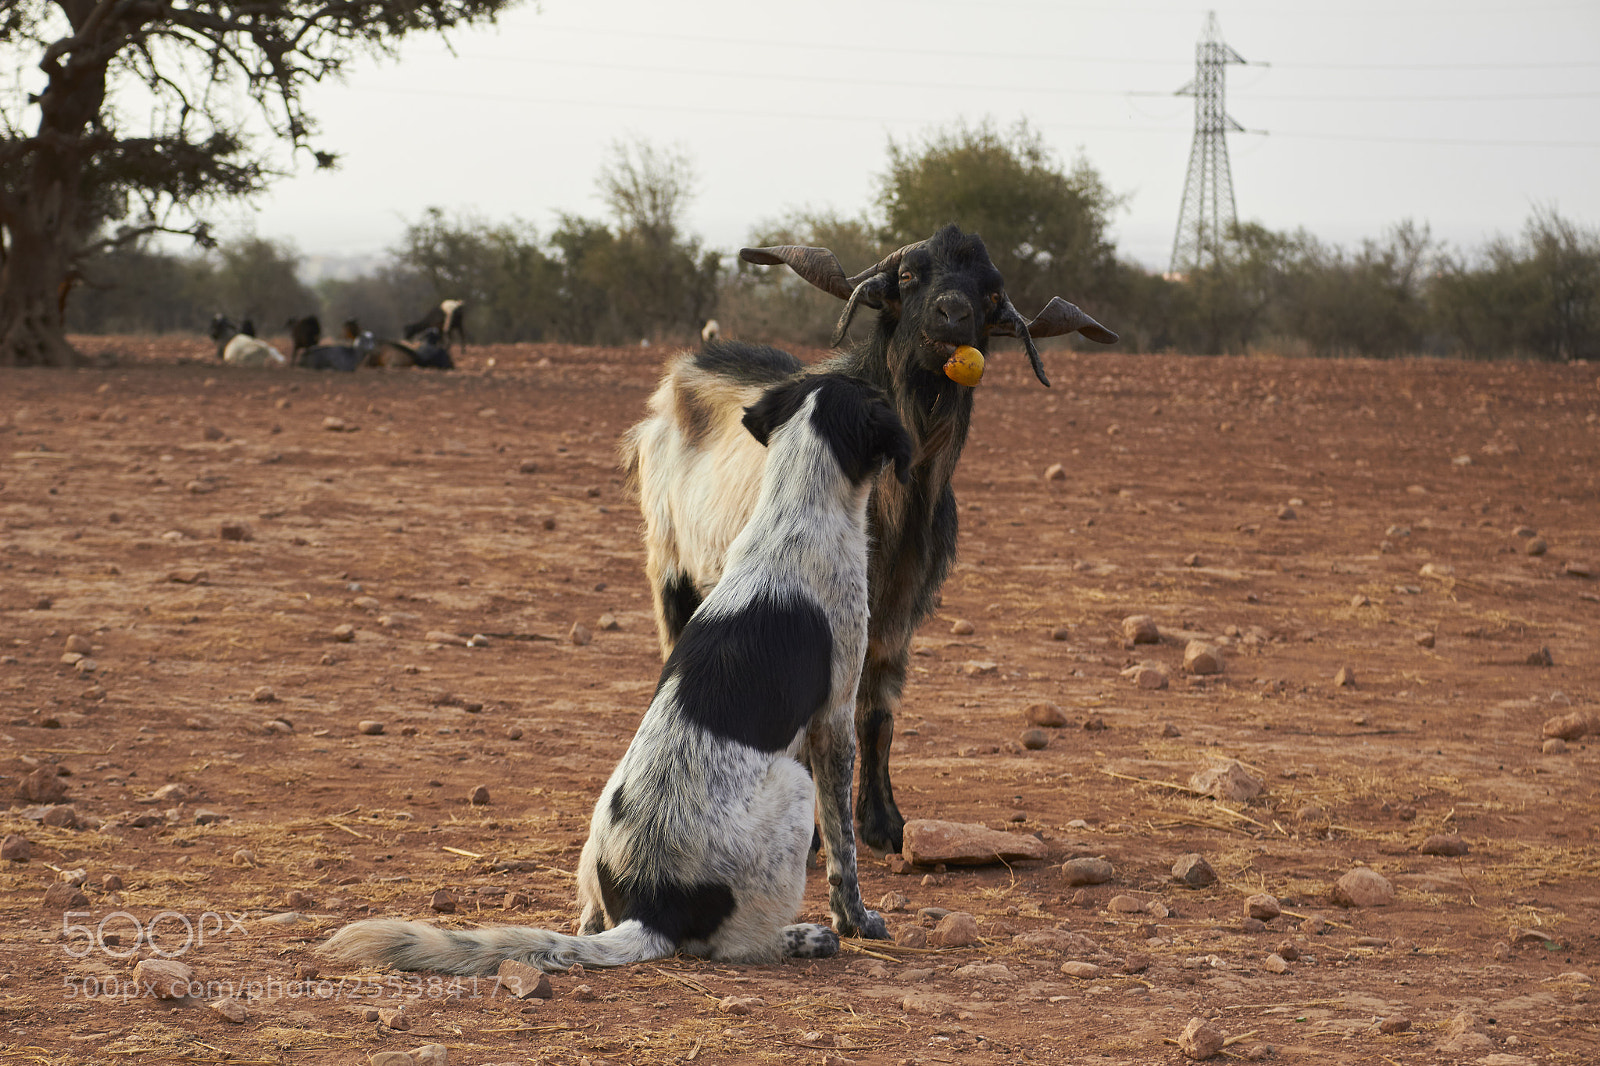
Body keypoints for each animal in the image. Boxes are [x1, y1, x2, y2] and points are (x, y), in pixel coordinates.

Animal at [322, 373, 907, 974]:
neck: (793, 515)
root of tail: (650, 909)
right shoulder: (834, 718)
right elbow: (843, 850)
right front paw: (857, 920)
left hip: (599, 832)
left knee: (587, 920)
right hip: (792, 789)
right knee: (736, 945)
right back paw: (805, 938)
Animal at [621, 223, 1116, 853]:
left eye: (988, 293)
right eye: (908, 275)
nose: (952, 313)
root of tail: (681, 373)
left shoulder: (898, 612)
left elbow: (877, 715)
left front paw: (885, 823)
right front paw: (814, 833)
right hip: (668, 562)